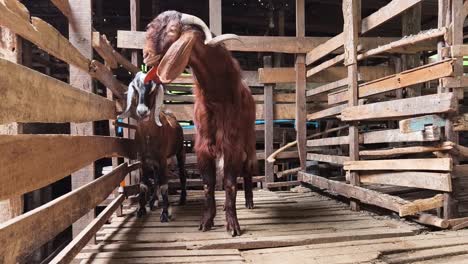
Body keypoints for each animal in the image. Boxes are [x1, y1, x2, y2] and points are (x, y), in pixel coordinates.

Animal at [119, 71, 187, 221]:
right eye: (135, 88)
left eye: (152, 90)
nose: (142, 111)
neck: (149, 136)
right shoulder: (143, 160)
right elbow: (144, 185)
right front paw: (141, 209)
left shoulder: (162, 159)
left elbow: (164, 186)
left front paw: (165, 213)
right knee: (155, 178)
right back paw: (153, 201)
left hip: (180, 151)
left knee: (182, 174)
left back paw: (182, 199)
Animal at [144, 11, 258, 236]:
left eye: (172, 30)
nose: (146, 55)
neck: (219, 95)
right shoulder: (203, 145)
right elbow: (208, 184)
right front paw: (207, 220)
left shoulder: (232, 144)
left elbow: (230, 184)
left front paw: (233, 225)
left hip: (248, 140)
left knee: (248, 167)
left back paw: (249, 201)